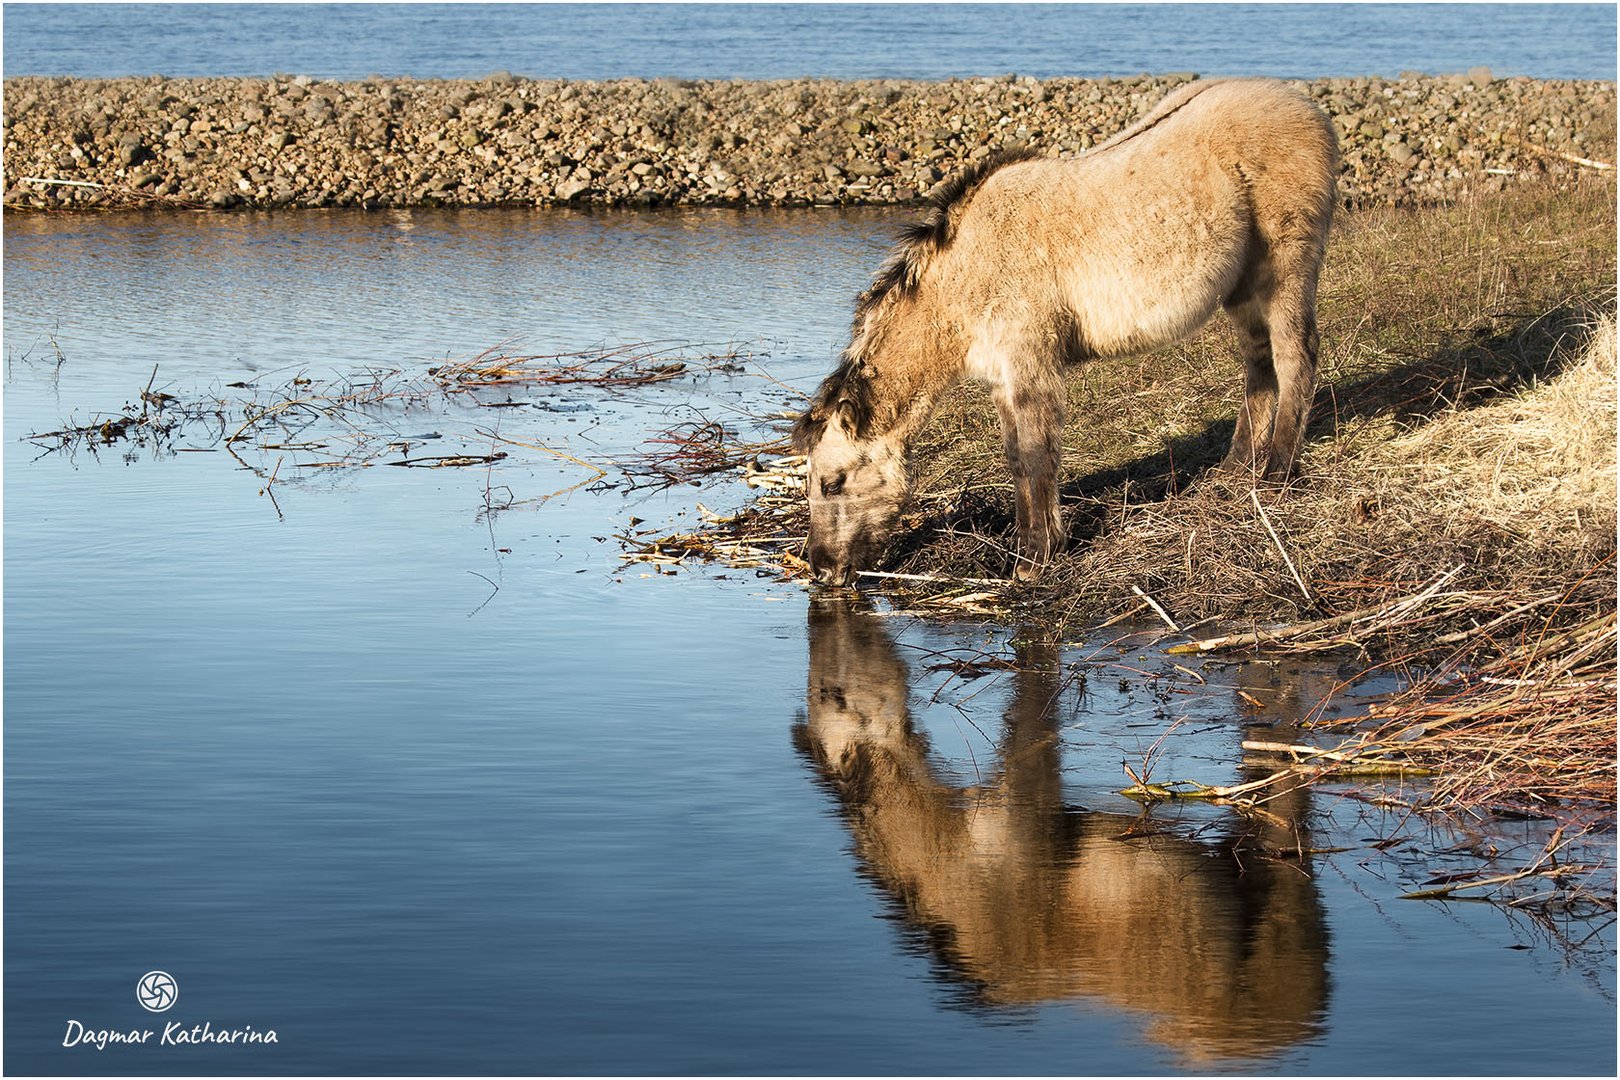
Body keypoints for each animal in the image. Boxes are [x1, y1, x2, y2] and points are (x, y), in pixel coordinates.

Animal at [790, 76, 1334, 586]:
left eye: (833, 483)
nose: (820, 569)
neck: (965, 274)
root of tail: (1306, 108)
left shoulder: (1032, 369)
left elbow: (1036, 456)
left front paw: (1035, 558)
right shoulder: (1003, 379)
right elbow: (1016, 457)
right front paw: (1028, 543)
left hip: (1286, 268)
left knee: (1295, 356)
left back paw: (1279, 473)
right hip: (1242, 289)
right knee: (1259, 365)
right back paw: (1235, 470)